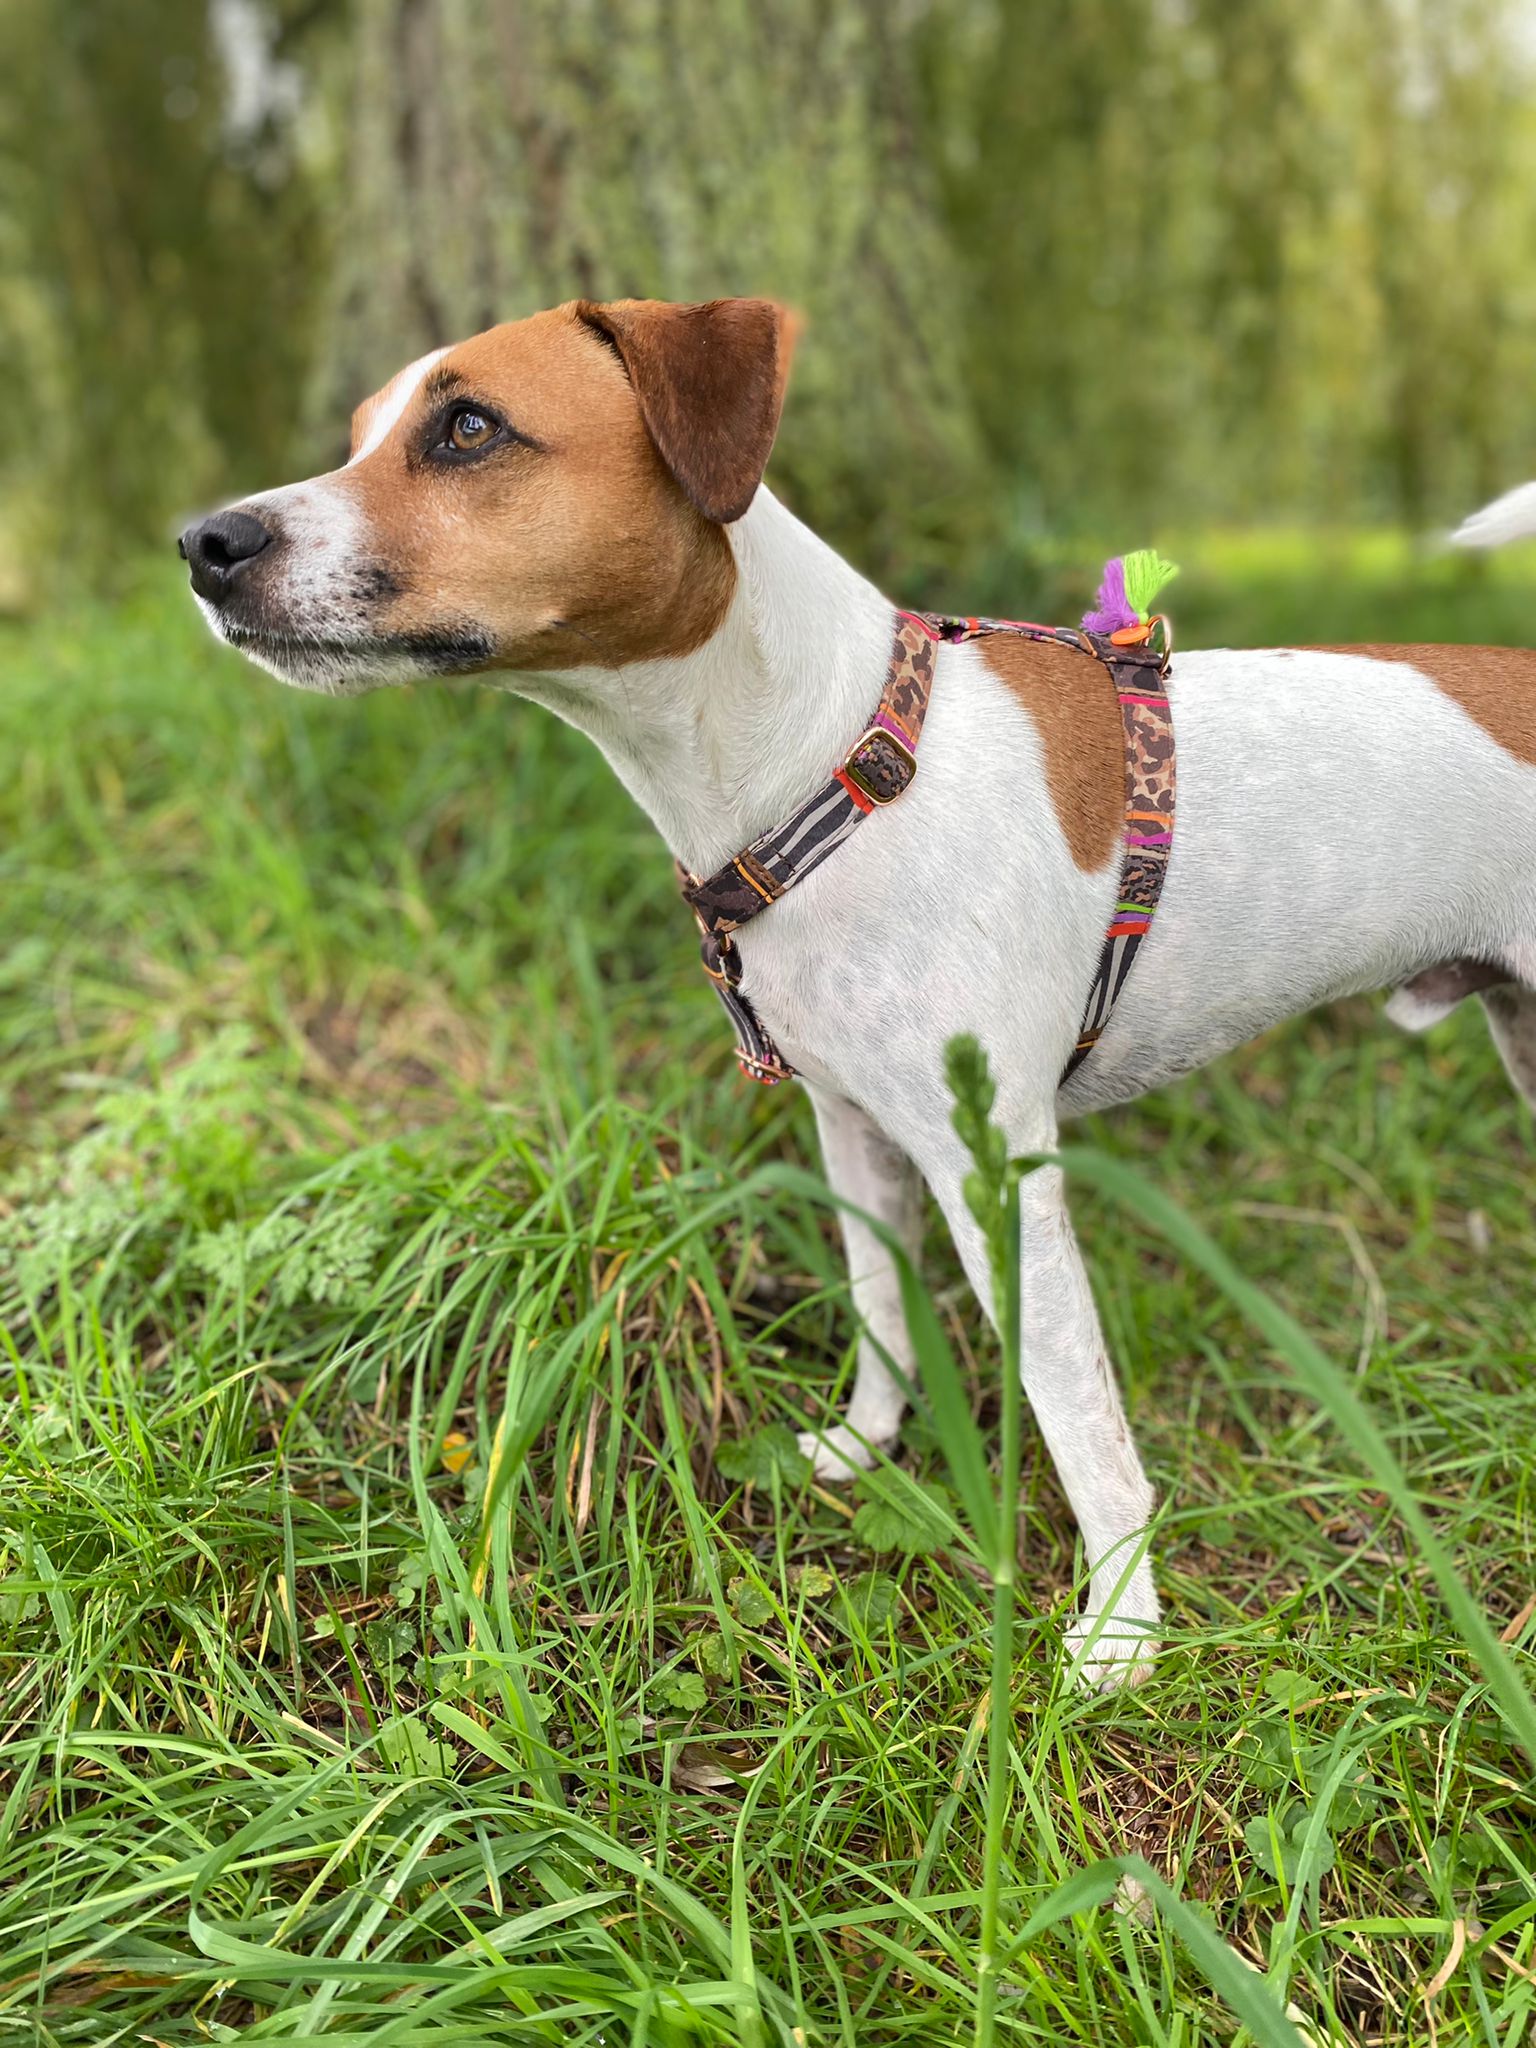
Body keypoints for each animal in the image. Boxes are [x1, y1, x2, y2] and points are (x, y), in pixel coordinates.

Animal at [183, 296, 1536, 1687]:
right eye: (360, 433)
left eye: (467, 428)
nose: (205, 542)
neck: (835, 767)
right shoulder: (854, 1123)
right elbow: (880, 1297)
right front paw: (870, 1441)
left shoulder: (998, 1169)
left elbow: (1080, 1418)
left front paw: (1119, 1630)